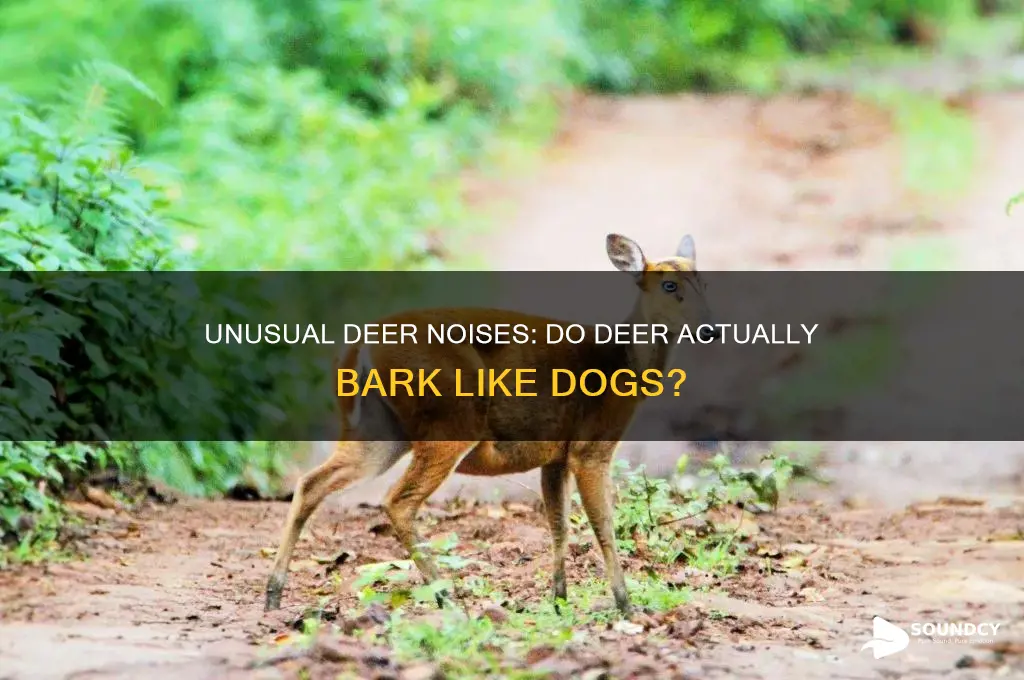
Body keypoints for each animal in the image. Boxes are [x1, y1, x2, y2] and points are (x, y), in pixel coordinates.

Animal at [264, 232, 717, 617]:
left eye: (702, 282)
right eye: (669, 286)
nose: (711, 328)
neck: (623, 363)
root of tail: (361, 344)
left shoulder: (555, 454)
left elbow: (558, 525)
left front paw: (559, 601)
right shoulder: (591, 447)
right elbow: (603, 524)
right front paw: (626, 605)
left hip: (376, 431)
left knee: (311, 484)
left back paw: (273, 595)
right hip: (450, 418)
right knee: (397, 500)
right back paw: (448, 598)